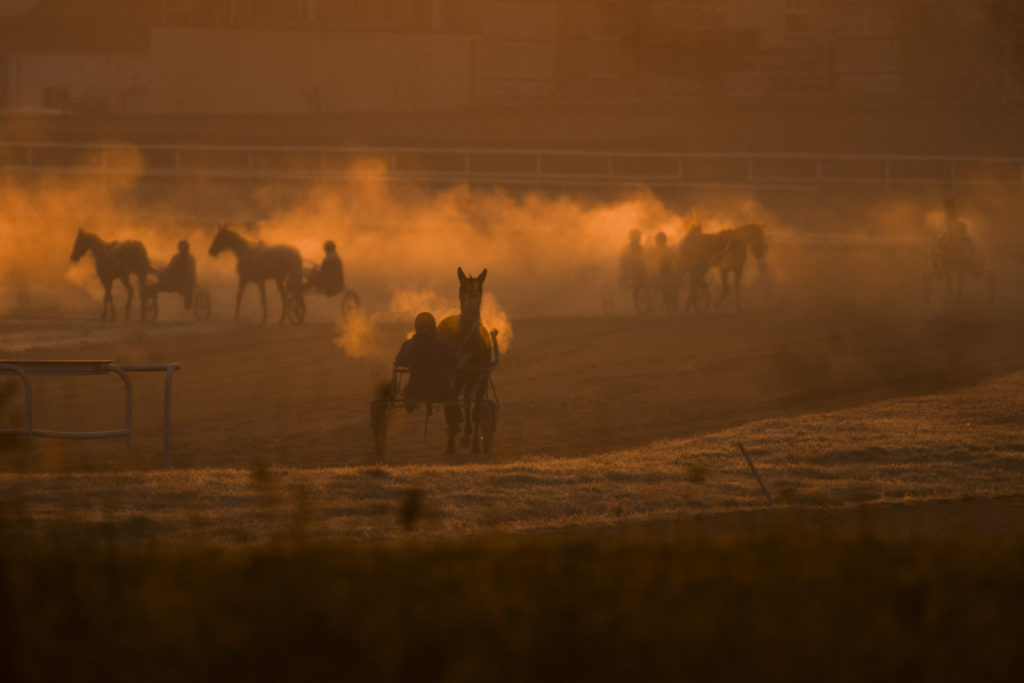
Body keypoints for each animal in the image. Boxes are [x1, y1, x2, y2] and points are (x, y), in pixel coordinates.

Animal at [436, 270, 495, 456]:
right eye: (461, 289)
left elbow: (475, 407)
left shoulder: (481, 377)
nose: (470, 302)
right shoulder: (456, 377)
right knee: (453, 402)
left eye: (479, 289)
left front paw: (474, 442)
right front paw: (460, 438)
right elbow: (457, 403)